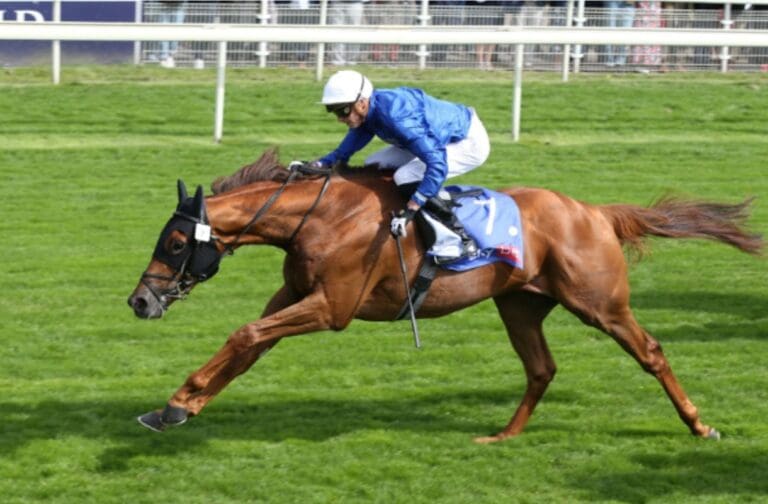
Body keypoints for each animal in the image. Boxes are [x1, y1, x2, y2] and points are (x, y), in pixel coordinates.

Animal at [127, 148, 763, 443]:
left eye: (176, 241)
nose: (139, 301)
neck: (324, 217)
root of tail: (595, 212)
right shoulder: (293, 296)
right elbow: (248, 345)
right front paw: (177, 405)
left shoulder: (332, 309)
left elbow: (244, 335)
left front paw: (179, 402)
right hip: (520, 304)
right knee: (541, 368)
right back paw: (503, 435)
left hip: (599, 303)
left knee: (650, 351)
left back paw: (700, 425)